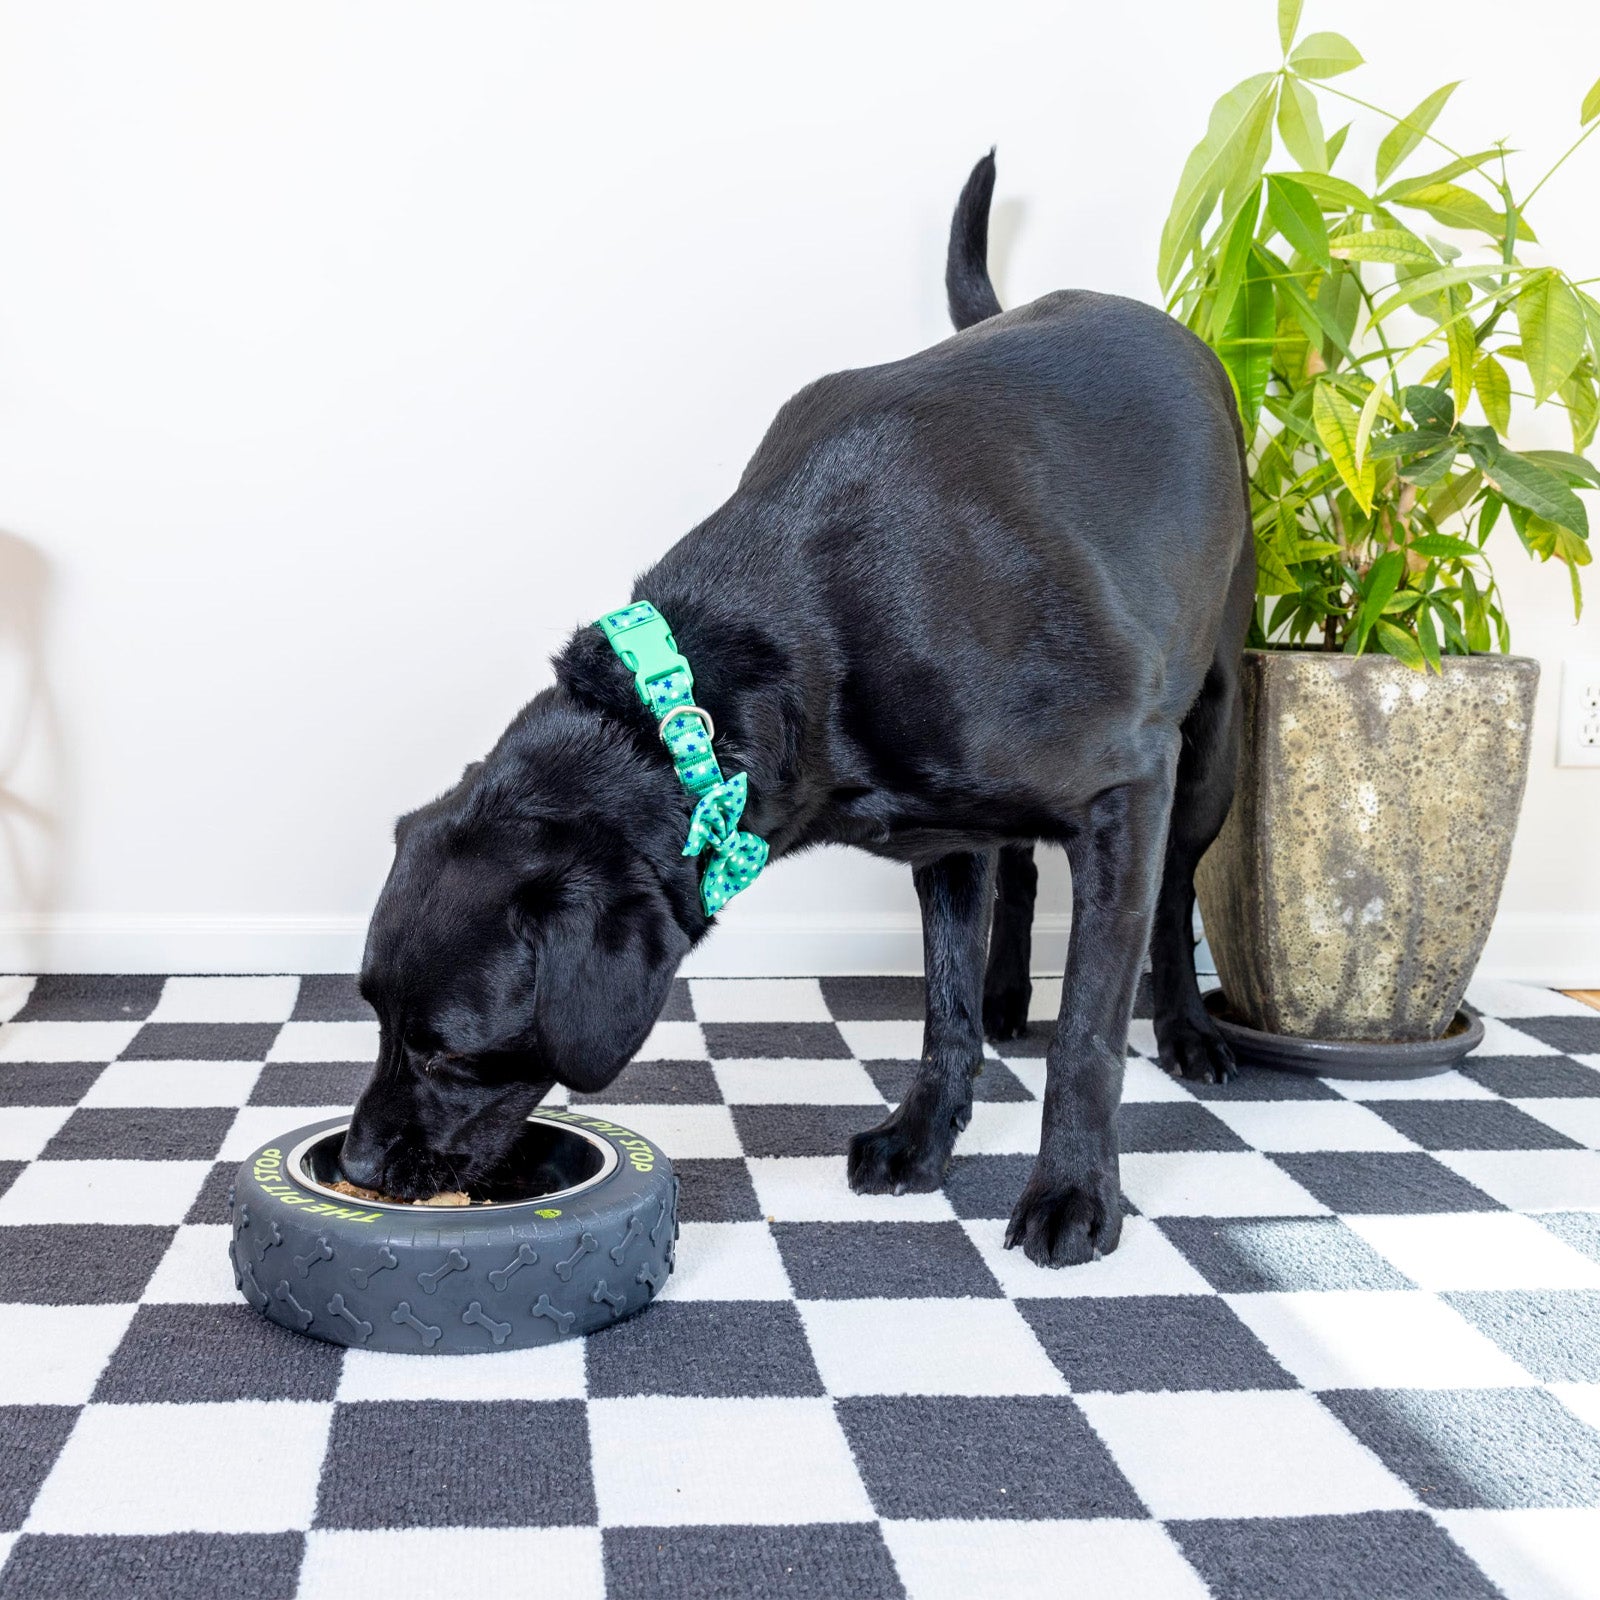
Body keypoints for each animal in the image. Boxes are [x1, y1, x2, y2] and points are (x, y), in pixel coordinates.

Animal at [344, 156, 1254, 1267]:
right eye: (373, 1011)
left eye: (451, 1051)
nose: (357, 1167)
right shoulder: (946, 837)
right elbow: (944, 1006)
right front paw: (923, 1134)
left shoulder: (1129, 781)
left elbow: (1088, 1027)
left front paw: (1075, 1190)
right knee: (1023, 877)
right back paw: (1010, 997)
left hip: (1211, 738)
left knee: (1172, 899)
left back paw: (1188, 1031)